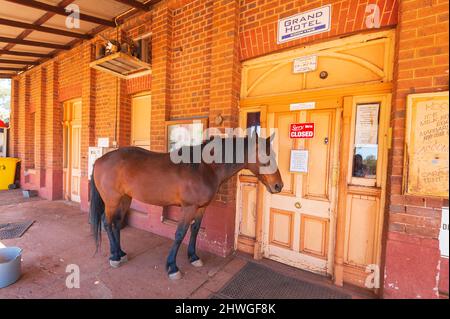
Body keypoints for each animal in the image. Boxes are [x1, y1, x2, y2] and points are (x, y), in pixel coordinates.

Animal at [89, 132, 284, 280]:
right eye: (265, 157)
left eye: (275, 155)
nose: (278, 186)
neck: (204, 168)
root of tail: (100, 160)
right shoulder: (188, 208)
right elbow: (180, 234)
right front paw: (172, 267)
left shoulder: (201, 208)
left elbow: (195, 230)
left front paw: (193, 257)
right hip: (112, 201)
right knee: (107, 223)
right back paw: (114, 257)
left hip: (125, 199)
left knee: (116, 224)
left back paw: (120, 253)